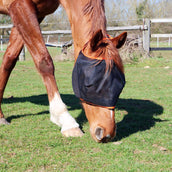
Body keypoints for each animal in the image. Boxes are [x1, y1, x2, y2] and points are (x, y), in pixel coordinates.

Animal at [0, 0, 126, 142]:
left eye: (121, 85)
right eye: (89, 84)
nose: (106, 134)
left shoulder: (33, 13)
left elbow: (9, 60)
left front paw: (0, 116)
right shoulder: (19, 6)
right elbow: (44, 61)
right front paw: (67, 122)